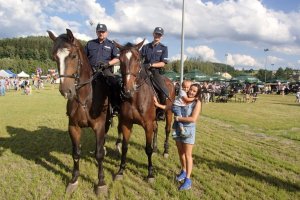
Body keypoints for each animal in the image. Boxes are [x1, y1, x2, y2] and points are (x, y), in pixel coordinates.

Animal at [47, 29, 110, 195]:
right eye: (54, 57)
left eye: (74, 56)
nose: (66, 91)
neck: (85, 97)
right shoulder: (73, 127)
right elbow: (76, 153)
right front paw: (74, 179)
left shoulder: (99, 126)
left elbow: (99, 154)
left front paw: (101, 183)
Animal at [113, 40, 175, 181]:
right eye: (120, 60)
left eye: (137, 59)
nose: (127, 90)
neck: (135, 98)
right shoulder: (126, 123)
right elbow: (125, 147)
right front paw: (120, 170)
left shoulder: (147, 125)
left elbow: (148, 149)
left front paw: (150, 173)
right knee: (157, 128)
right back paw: (157, 148)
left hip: (168, 113)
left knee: (167, 130)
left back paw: (166, 151)